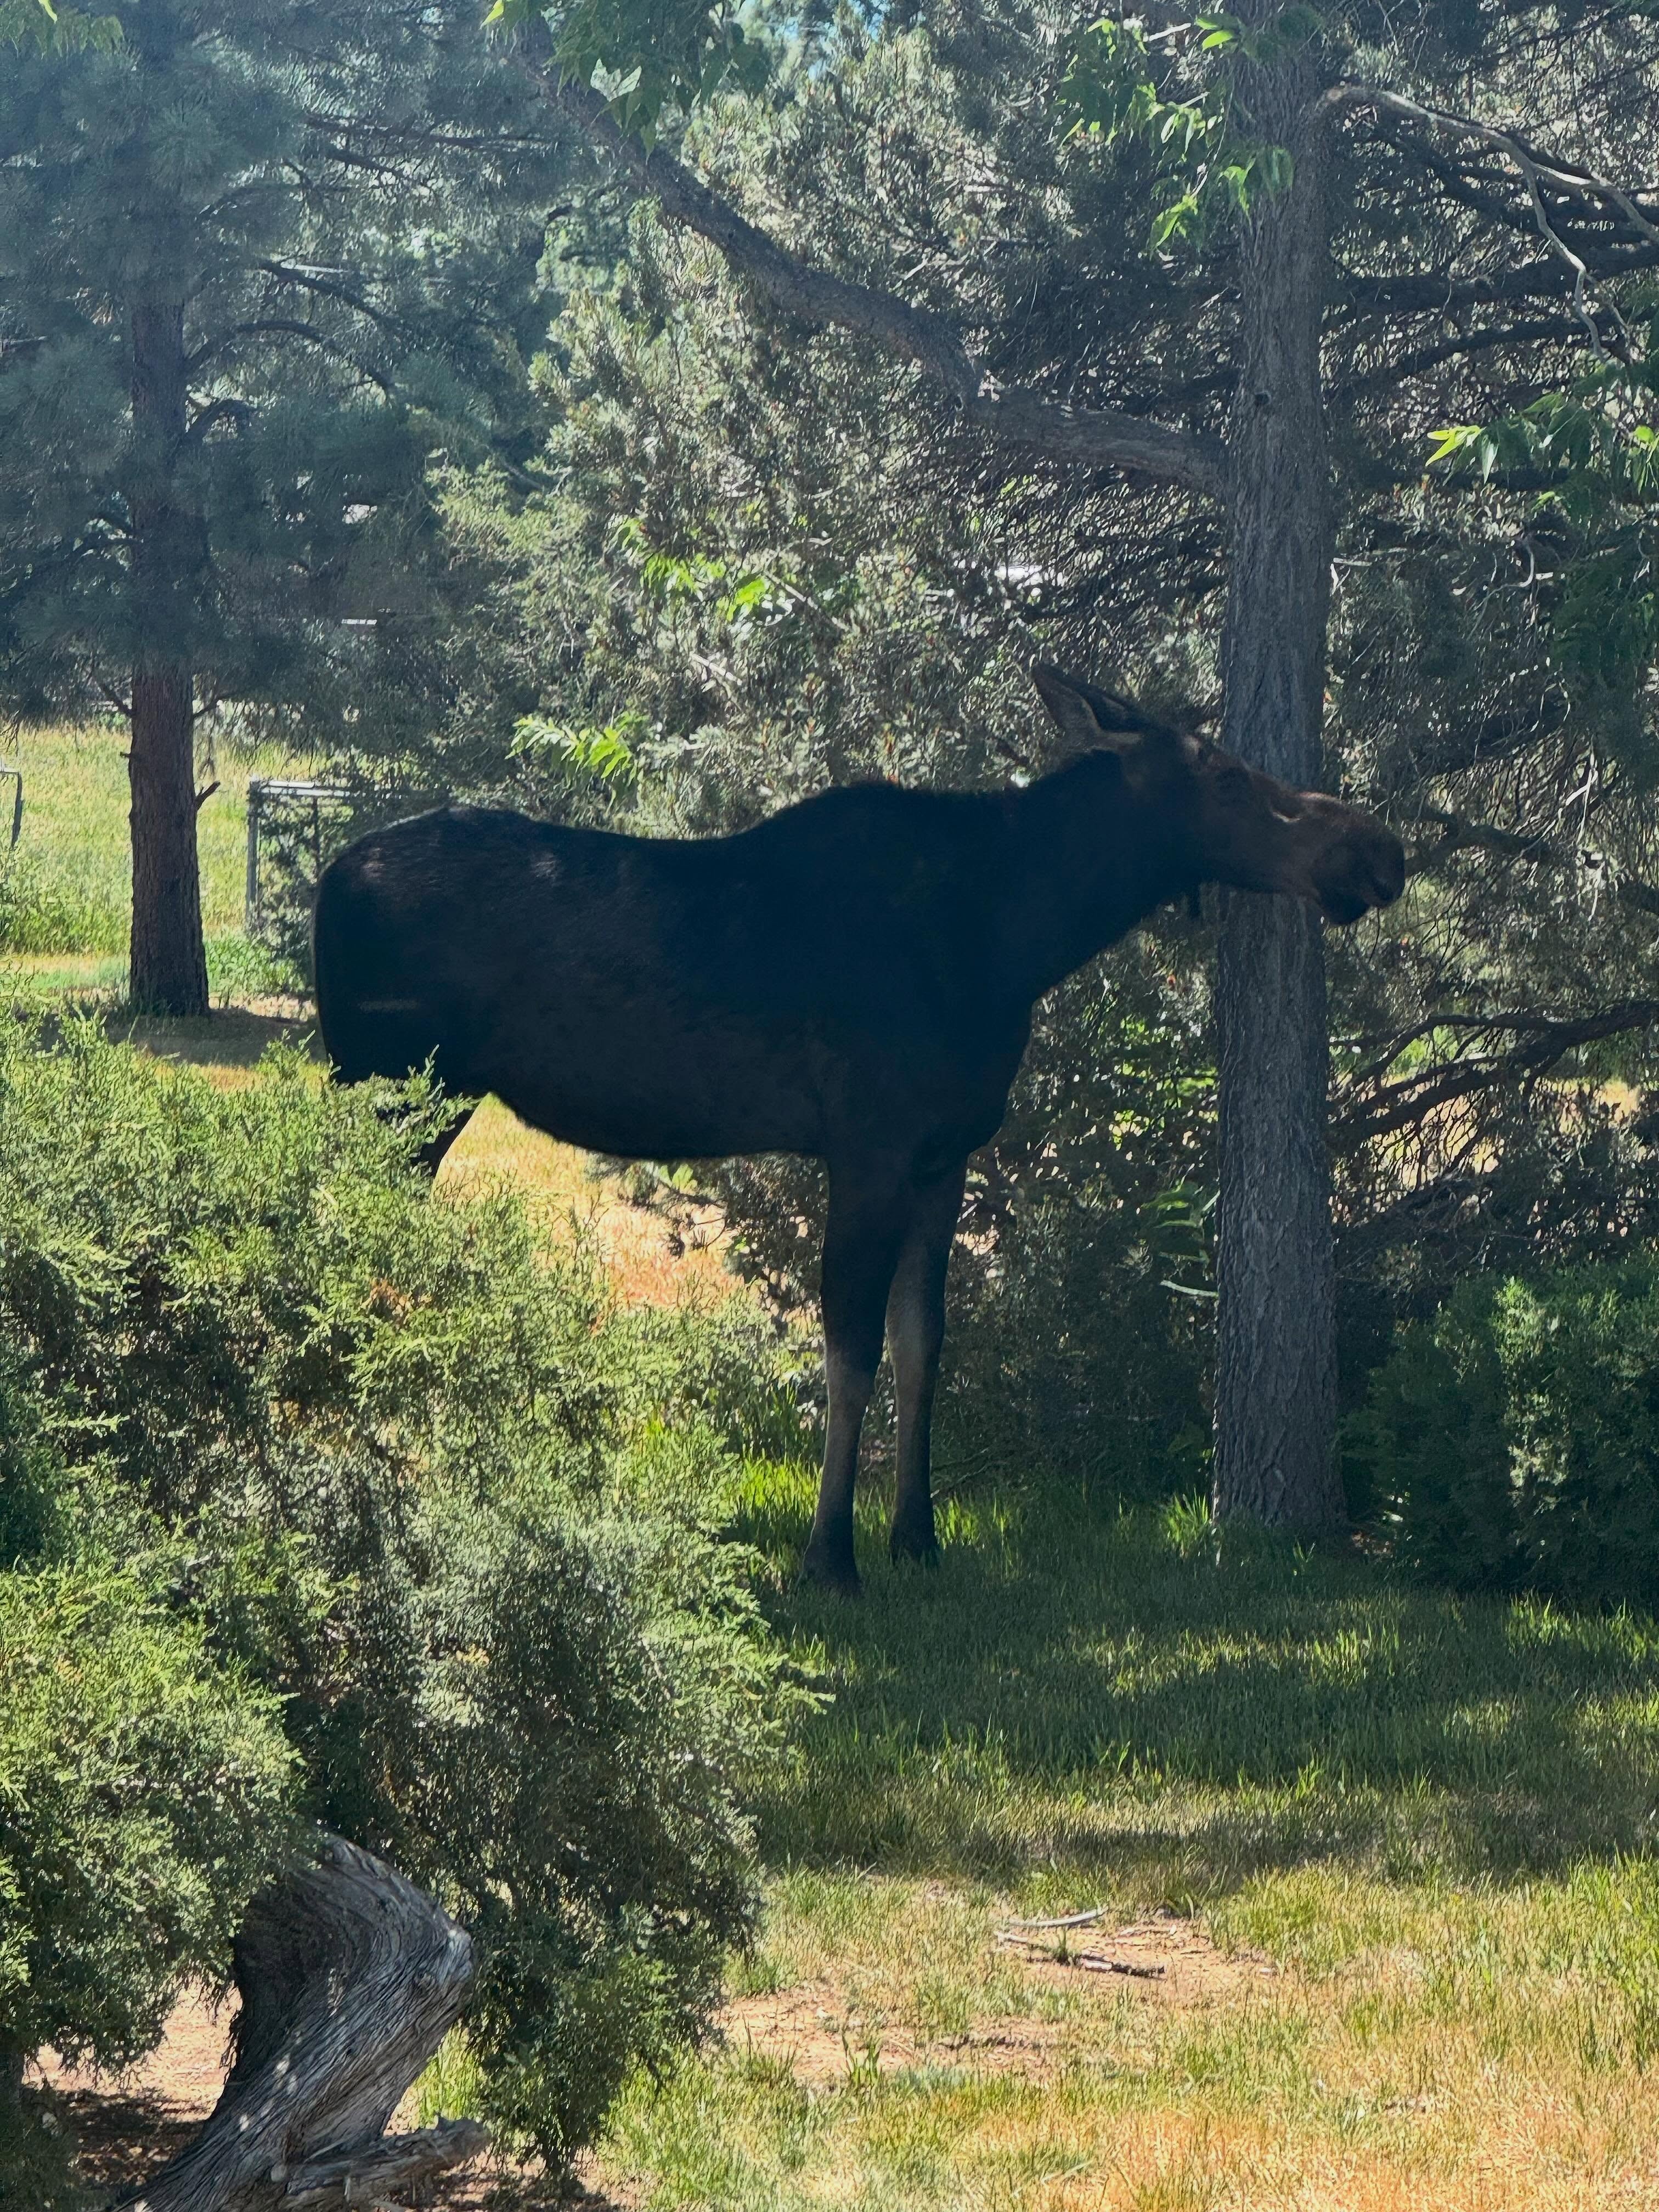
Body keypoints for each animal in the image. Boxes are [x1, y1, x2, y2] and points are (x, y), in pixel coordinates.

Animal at [314, 664, 1406, 1594]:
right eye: (1224, 772)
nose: (1379, 851)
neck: (1020, 937)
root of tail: (325, 883)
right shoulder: (870, 1146)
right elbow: (851, 1352)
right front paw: (829, 1556)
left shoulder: (942, 1156)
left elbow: (923, 1346)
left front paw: (916, 1537)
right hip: (394, 1089)